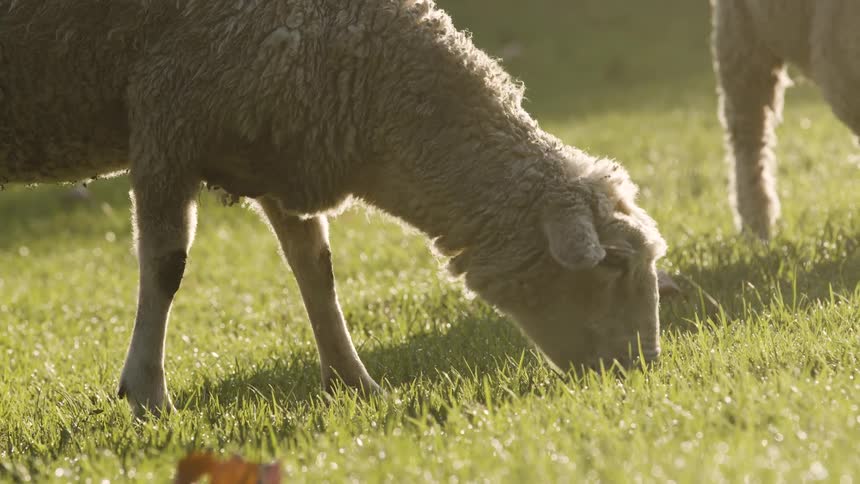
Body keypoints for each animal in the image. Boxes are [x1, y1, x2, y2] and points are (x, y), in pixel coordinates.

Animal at [1, 0, 668, 417]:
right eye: (614, 265)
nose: (641, 369)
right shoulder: (167, 122)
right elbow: (166, 267)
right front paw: (147, 395)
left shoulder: (280, 148)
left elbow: (315, 270)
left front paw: (356, 385)